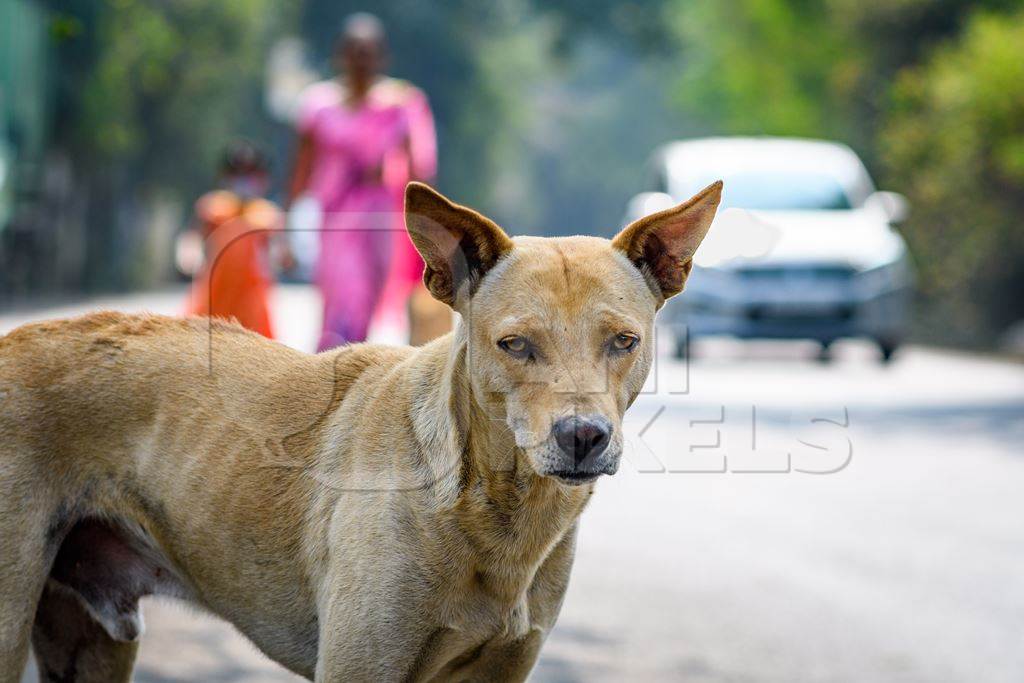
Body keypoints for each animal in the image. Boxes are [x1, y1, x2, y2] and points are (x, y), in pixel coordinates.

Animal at [0, 179, 720, 679]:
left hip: (89, 640)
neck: (491, 512)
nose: (583, 435)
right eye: (515, 344)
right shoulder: (361, 666)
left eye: (624, 341)